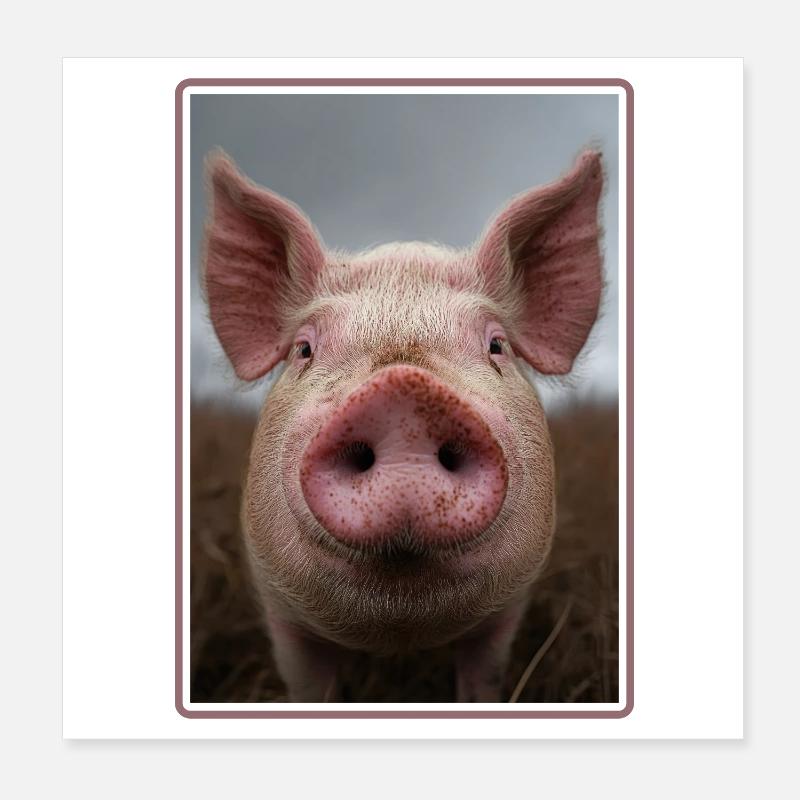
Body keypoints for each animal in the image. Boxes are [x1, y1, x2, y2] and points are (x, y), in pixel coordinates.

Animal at [202, 149, 604, 702]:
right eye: (304, 349)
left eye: (496, 346)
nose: (403, 391)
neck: (400, 632)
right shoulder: (282, 614)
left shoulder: (507, 612)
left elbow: (482, 681)